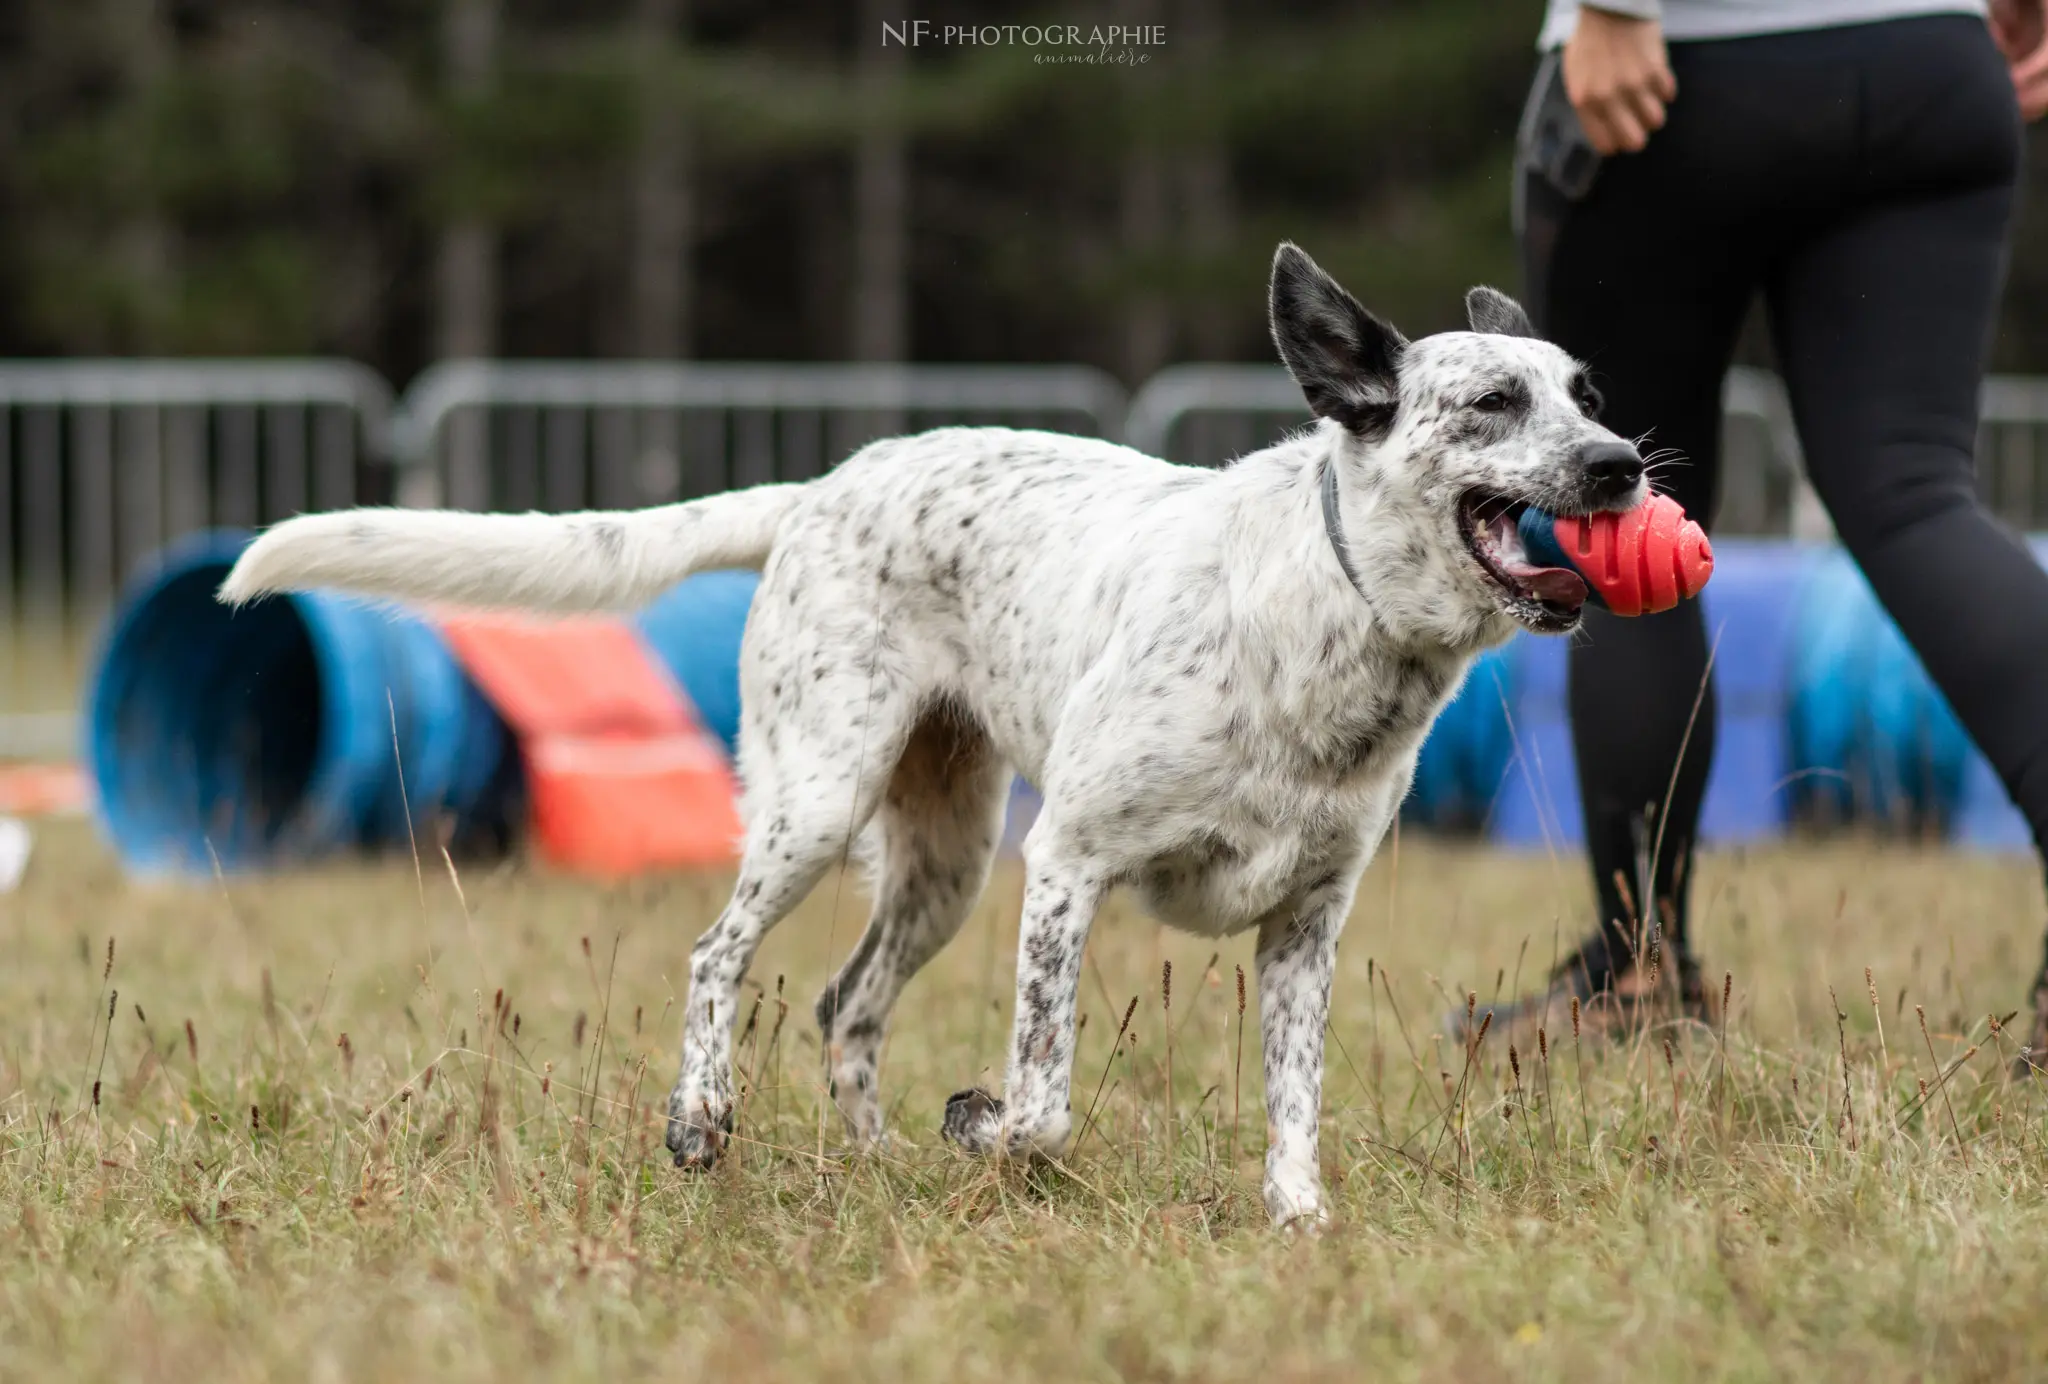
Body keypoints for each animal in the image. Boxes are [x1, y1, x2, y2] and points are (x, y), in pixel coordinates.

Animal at [220, 243, 1646, 1228]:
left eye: (1586, 394)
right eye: (1492, 402)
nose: (1624, 462)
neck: (1332, 617)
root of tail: (818, 486)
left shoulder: (1306, 921)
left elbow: (1292, 1103)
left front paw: (1297, 1221)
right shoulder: (1066, 866)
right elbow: (1044, 1101)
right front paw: (985, 1124)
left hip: (946, 861)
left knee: (845, 1006)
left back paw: (875, 1165)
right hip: (819, 802)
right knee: (714, 957)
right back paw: (702, 1119)